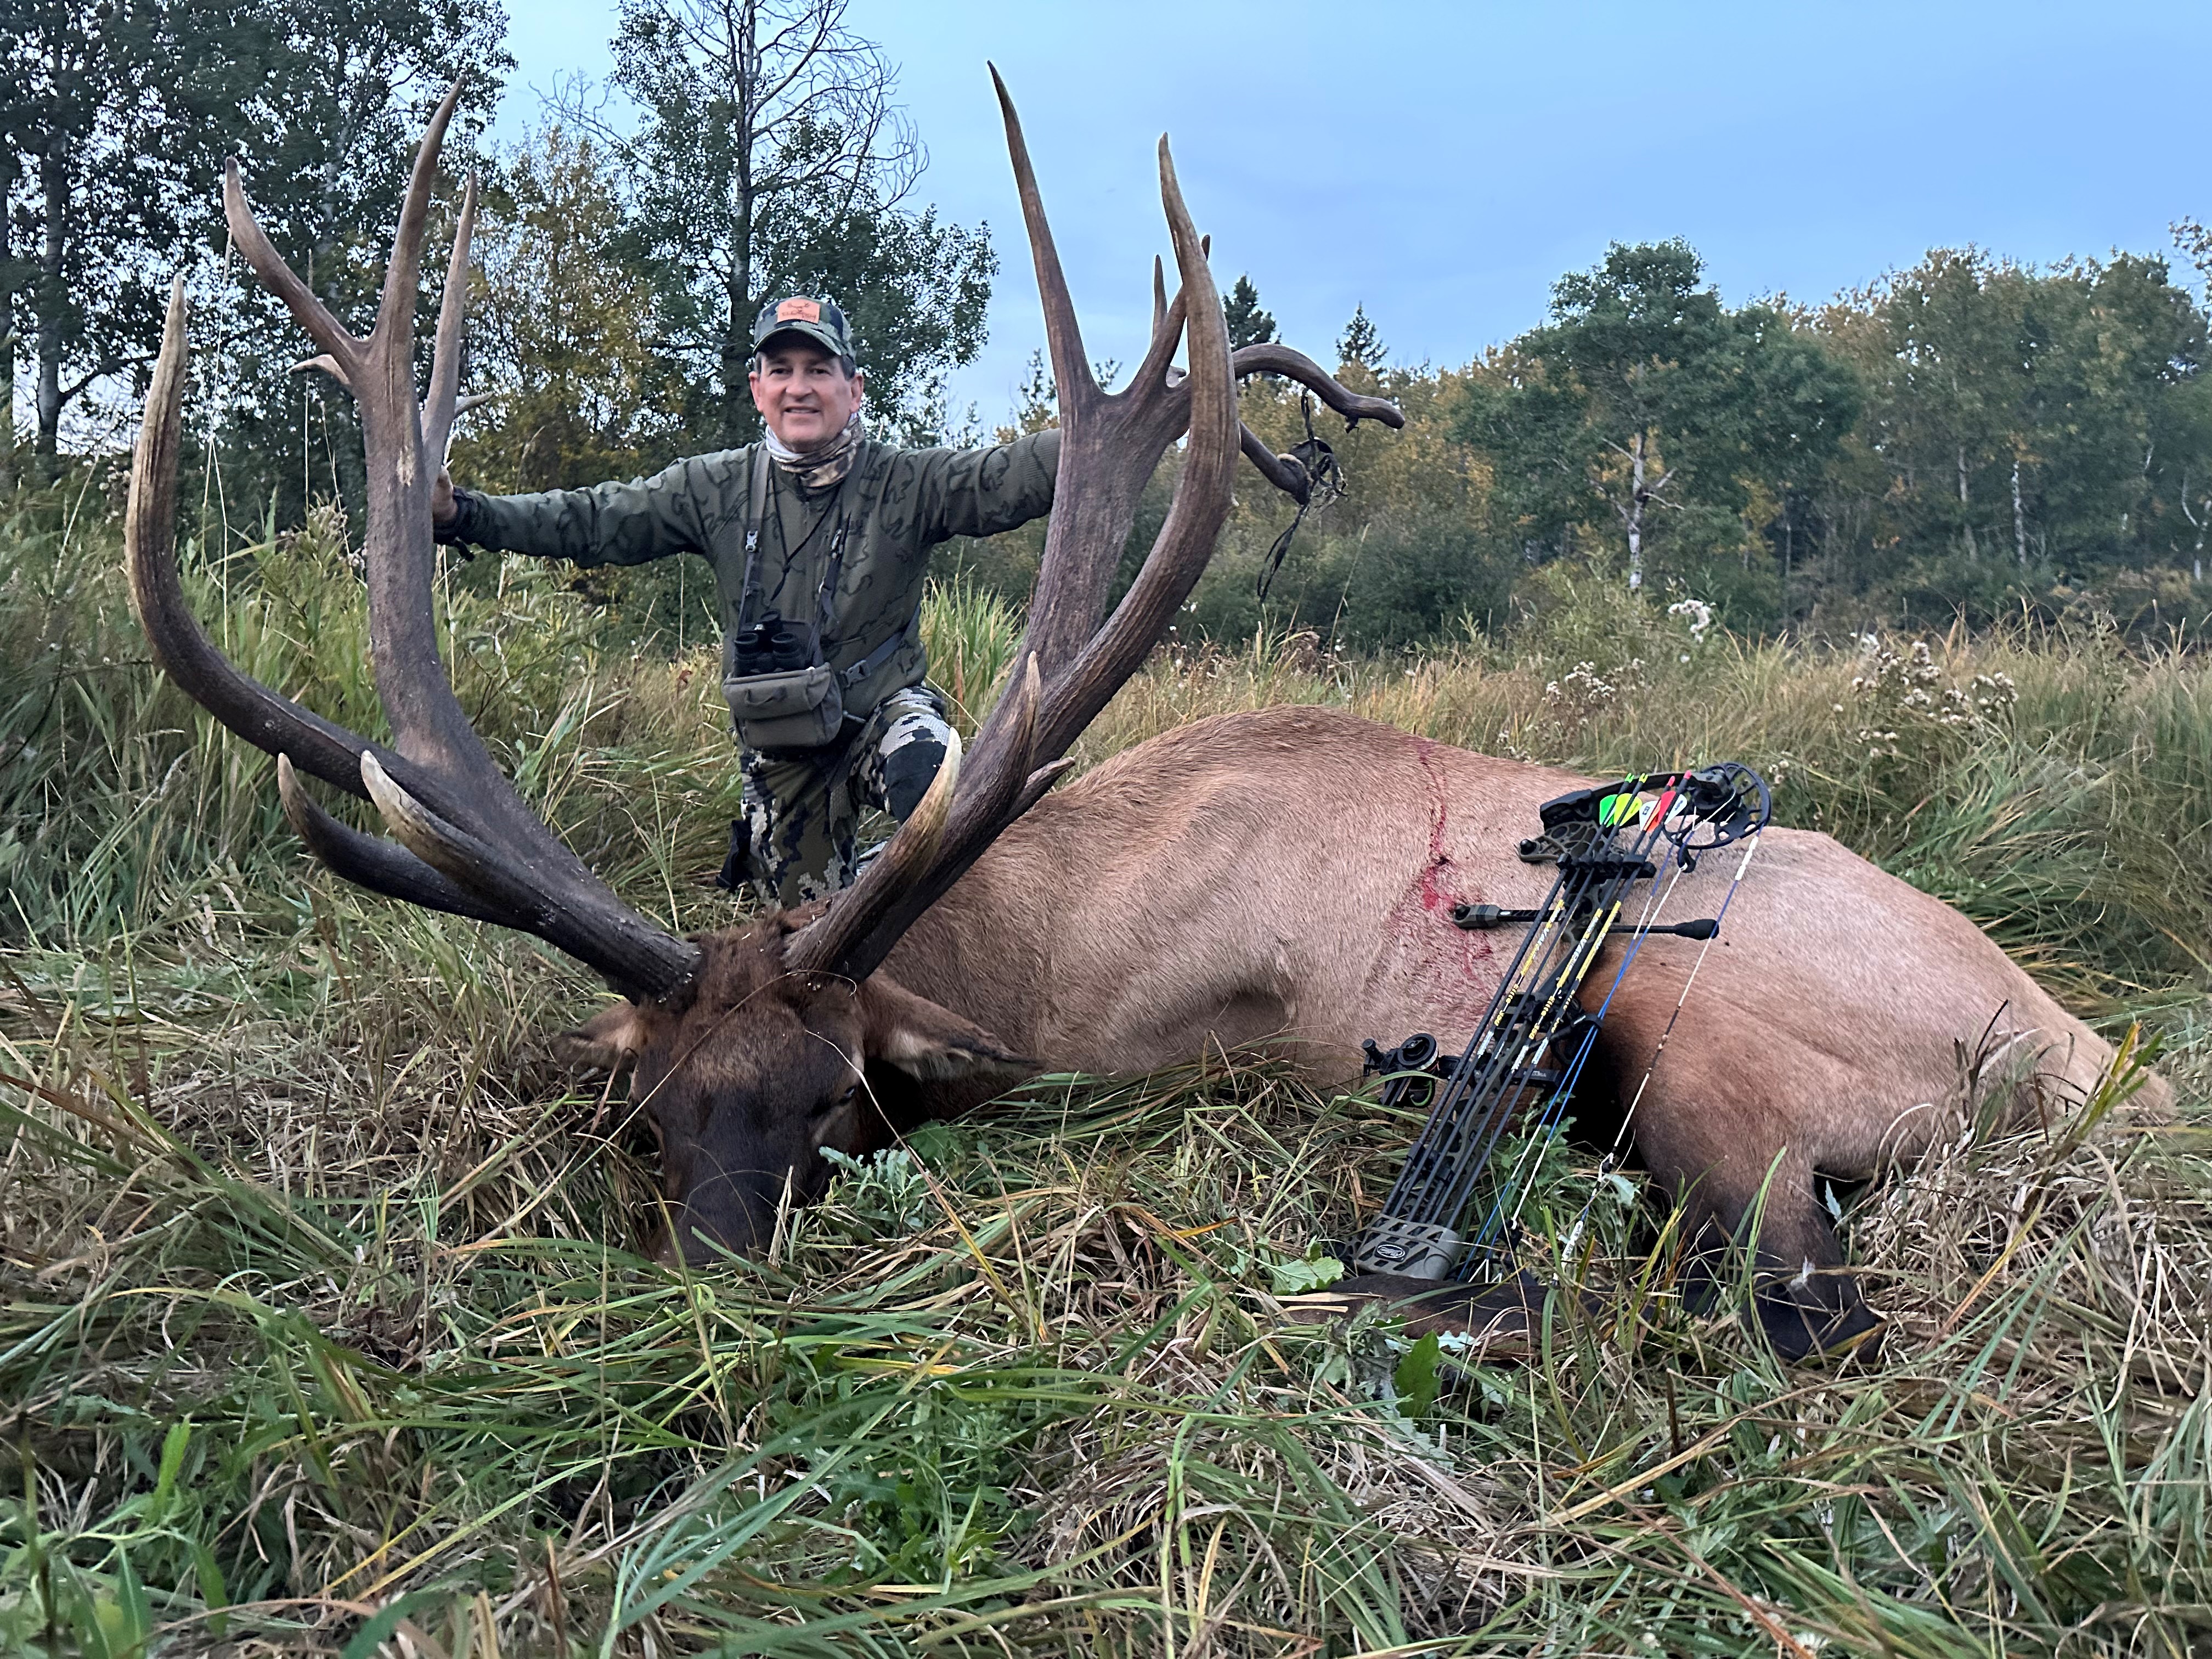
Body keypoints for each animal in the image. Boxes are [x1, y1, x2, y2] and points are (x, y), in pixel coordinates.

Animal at [126, 76, 2160, 1364]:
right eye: (646, 1113)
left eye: (831, 1099)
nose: (711, 1308)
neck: (1031, 944)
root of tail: (2089, 1057)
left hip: (1705, 1024)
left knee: (1803, 1292)